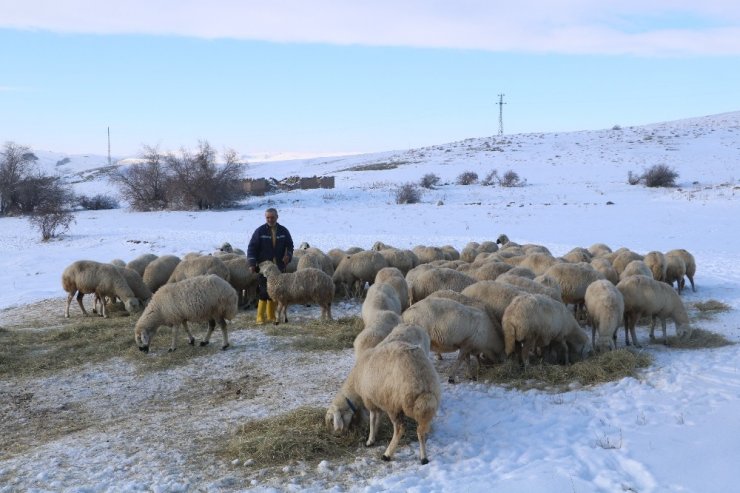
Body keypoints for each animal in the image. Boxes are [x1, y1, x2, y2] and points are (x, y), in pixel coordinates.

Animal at [324, 320, 440, 464]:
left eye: (331, 421)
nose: (336, 436)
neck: (355, 384)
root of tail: (423, 384)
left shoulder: (370, 400)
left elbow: (373, 420)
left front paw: (370, 440)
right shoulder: (377, 398)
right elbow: (377, 419)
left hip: (393, 404)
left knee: (400, 429)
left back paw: (387, 454)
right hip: (422, 403)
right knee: (421, 430)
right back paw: (423, 457)